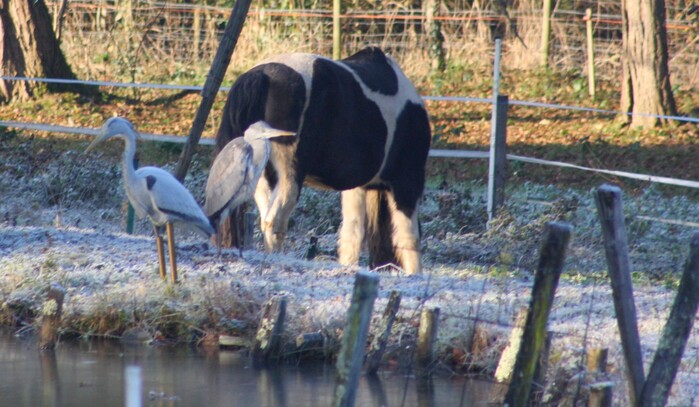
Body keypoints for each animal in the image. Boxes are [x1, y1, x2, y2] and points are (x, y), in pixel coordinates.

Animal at [215, 47, 432, 276]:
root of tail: (262, 73)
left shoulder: (359, 187)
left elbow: (352, 234)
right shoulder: (406, 184)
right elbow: (409, 237)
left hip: (262, 177)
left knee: (266, 218)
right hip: (289, 175)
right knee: (275, 222)